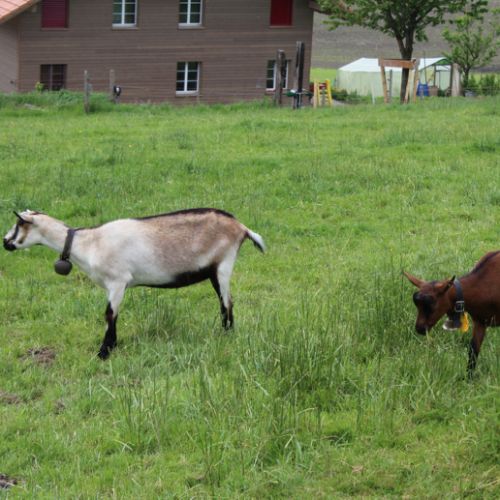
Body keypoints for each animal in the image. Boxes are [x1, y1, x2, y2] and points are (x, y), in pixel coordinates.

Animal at [3, 209, 265, 359]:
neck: (89, 243)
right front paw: (110, 347)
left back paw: (226, 335)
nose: (5, 242)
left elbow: (110, 314)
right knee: (226, 303)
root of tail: (241, 228)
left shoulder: (118, 281)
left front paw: (104, 351)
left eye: (19, 225)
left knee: (227, 303)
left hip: (223, 265)